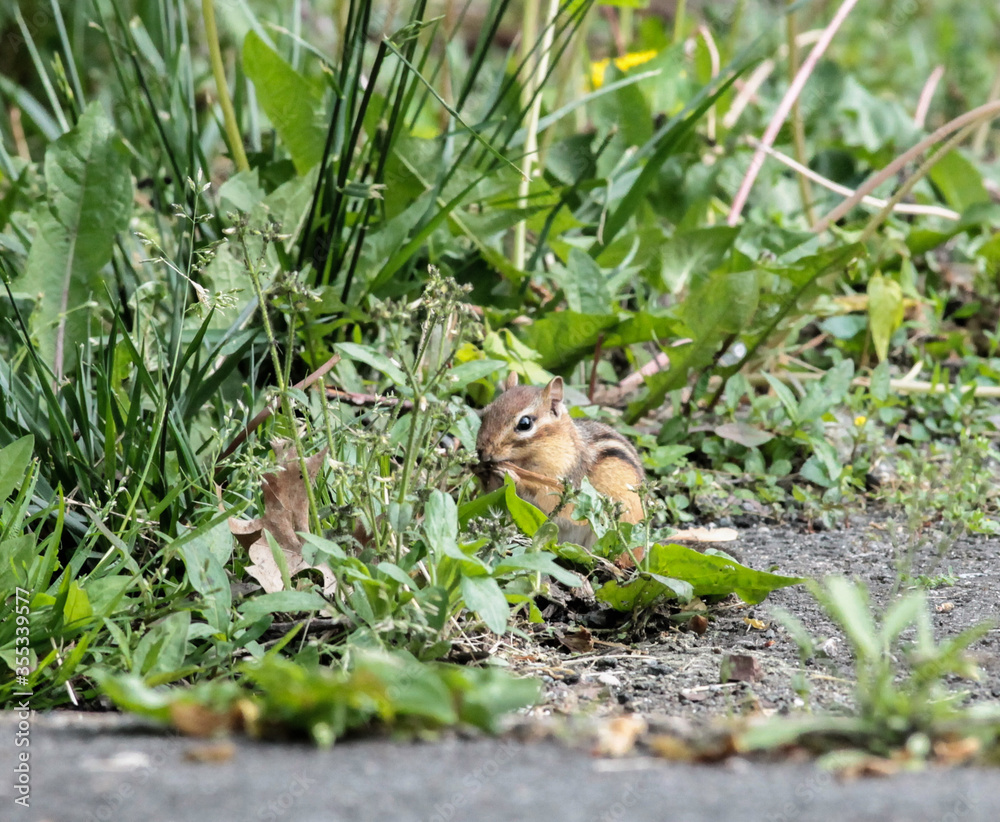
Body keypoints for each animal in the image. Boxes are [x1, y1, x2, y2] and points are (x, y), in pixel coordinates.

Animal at [475, 373, 644, 546]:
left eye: (525, 423)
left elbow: (549, 497)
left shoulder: (572, 485)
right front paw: (481, 472)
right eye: (485, 414)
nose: (482, 452)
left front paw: (515, 478)